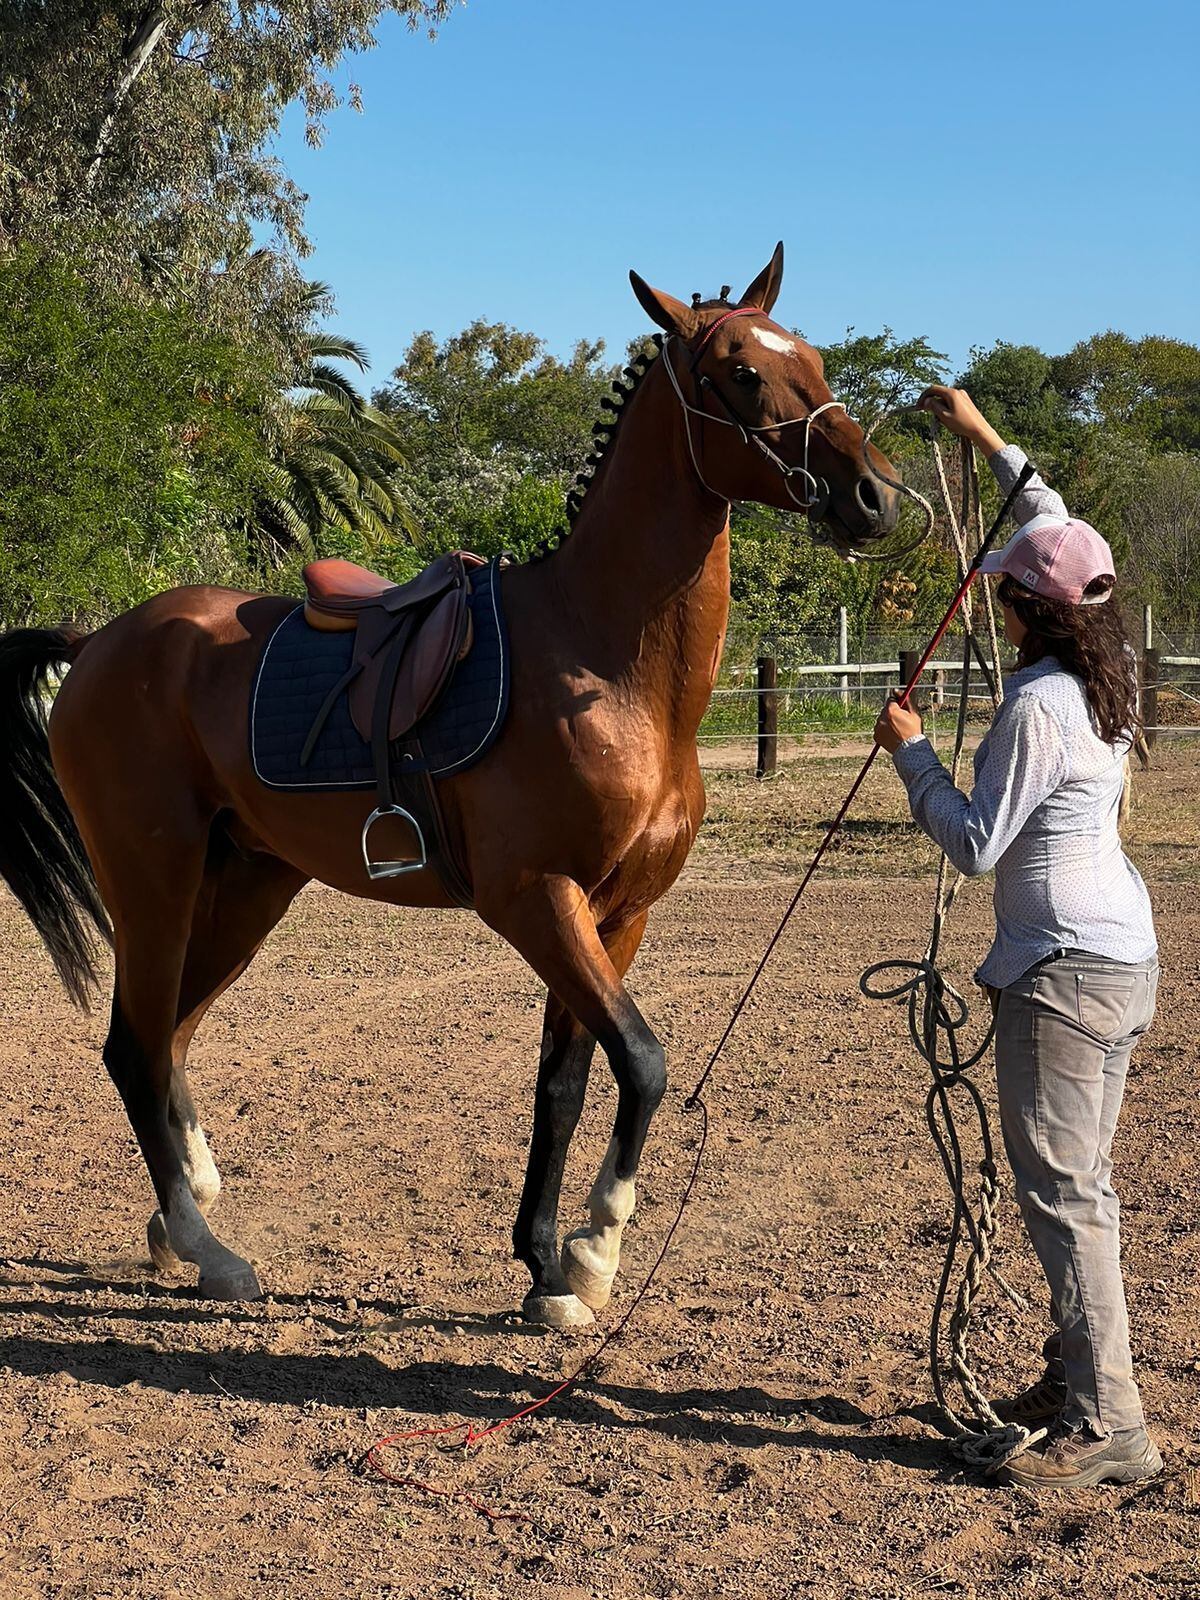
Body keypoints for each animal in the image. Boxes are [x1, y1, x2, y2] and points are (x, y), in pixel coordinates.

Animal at [0, 246, 902, 1324]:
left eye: (809, 357)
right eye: (741, 372)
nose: (876, 497)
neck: (600, 660)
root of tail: (99, 642)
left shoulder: (617, 916)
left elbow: (568, 1083)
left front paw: (547, 1265)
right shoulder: (536, 901)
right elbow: (643, 1062)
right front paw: (594, 1248)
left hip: (249, 884)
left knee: (169, 1033)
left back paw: (181, 1217)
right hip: (155, 881)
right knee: (135, 1046)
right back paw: (209, 1247)